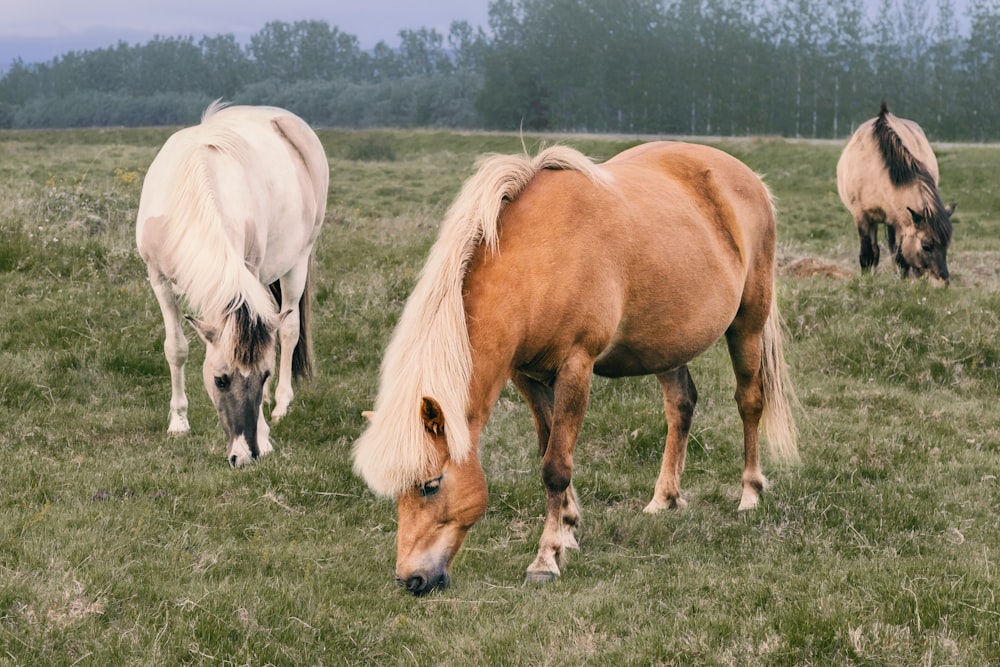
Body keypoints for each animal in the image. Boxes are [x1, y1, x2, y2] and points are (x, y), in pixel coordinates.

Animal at [136, 102, 328, 468]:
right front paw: (178, 421)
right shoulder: (159, 280)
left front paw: (265, 433)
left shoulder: (248, 273)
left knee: (289, 331)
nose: (245, 455)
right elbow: (176, 348)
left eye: (263, 375)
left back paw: (282, 404)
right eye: (219, 380)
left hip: (298, 260)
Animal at [352, 140, 796, 596]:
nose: (412, 579)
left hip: (748, 323)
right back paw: (664, 499)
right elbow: (549, 446)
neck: (537, 259)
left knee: (749, 401)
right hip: (667, 343)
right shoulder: (527, 376)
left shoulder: (575, 367)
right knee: (681, 406)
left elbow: (555, 467)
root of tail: (747, 177)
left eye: (431, 485)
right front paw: (566, 530)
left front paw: (546, 558)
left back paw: (750, 493)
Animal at [836, 102, 952, 282]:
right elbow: (868, 255)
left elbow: (900, 258)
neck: (876, 171)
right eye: (926, 245)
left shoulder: (899, 222)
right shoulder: (862, 216)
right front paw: (866, 280)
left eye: (947, 245)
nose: (943, 280)